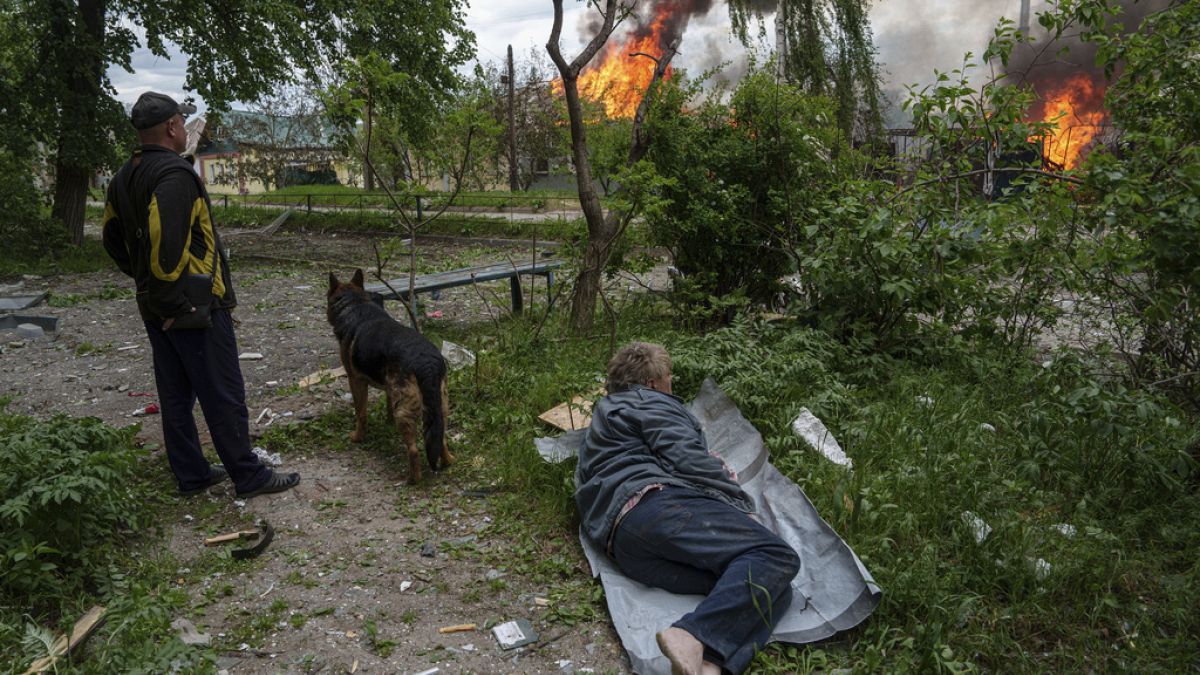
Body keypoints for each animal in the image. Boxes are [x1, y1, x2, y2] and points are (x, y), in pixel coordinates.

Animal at [326, 265, 451, 480]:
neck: (355, 305)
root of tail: (426, 362)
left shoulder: (355, 380)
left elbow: (361, 414)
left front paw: (358, 437)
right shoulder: (388, 387)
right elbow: (386, 406)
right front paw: (387, 422)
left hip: (406, 411)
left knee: (414, 451)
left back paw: (413, 479)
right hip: (438, 406)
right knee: (439, 438)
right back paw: (447, 461)